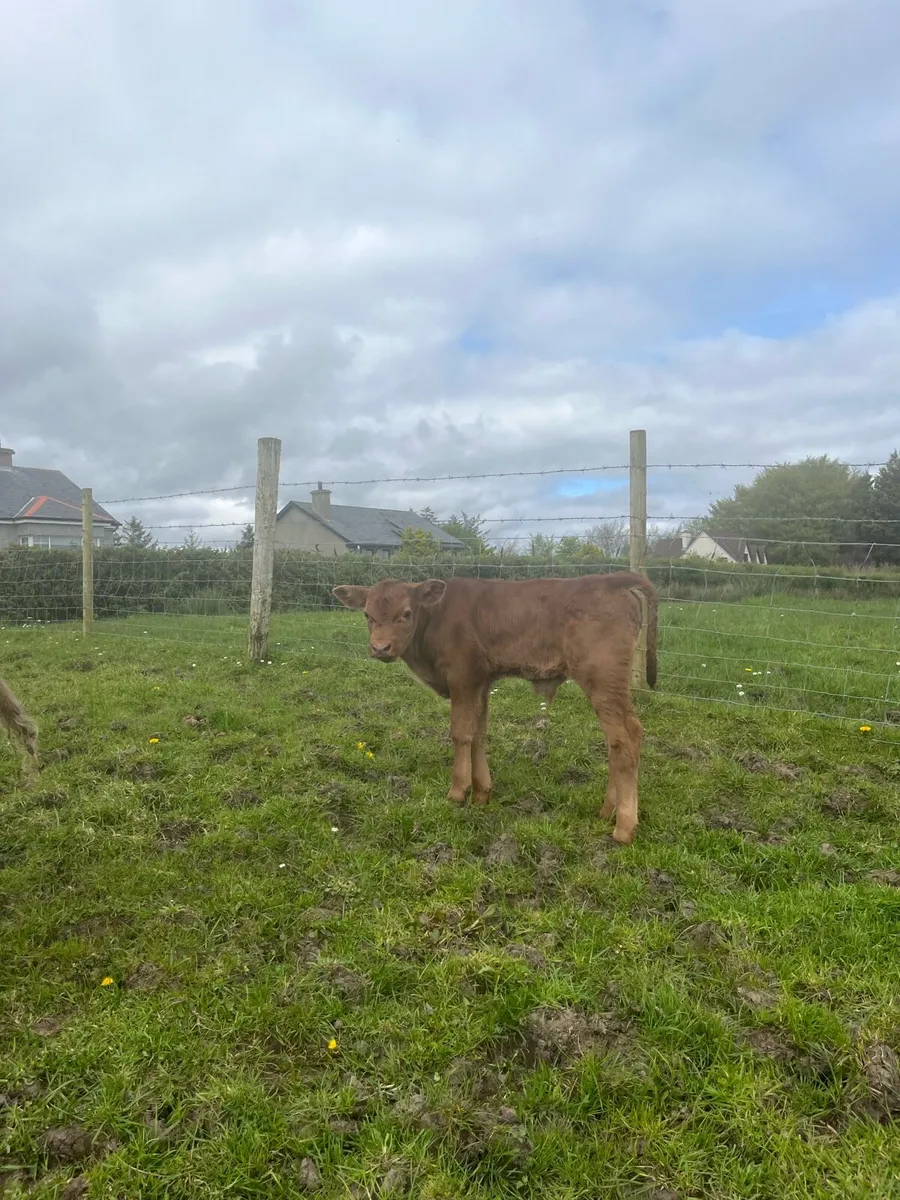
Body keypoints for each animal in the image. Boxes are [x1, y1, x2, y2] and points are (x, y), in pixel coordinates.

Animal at [332, 571, 658, 845]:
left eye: (406, 613)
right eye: (367, 614)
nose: (380, 648)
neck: (436, 619)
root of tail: (610, 578)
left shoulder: (463, 677)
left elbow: (461, 733)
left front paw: (457, 792)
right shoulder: (482, 682)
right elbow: (479, 733)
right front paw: (481, 793)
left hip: (603, 681)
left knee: (626, 737)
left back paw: (624, 827)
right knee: (619, 742)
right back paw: (607, 812)